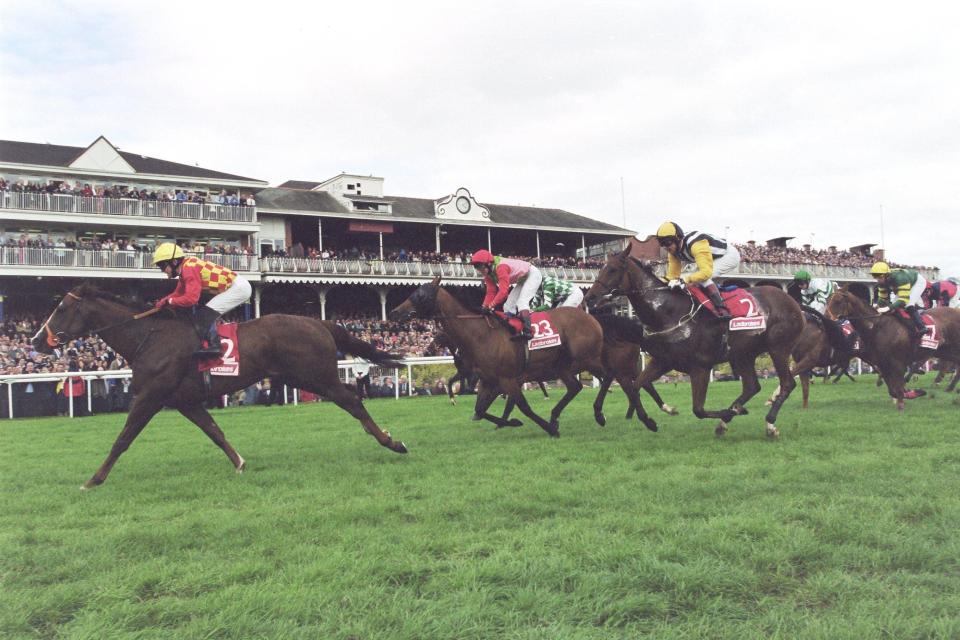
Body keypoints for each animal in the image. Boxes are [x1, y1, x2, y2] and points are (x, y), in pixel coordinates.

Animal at [32, 282, 408, 488]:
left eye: (61, 308)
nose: (36, 341)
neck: (149, 337)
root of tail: (321, 323)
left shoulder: (151, 395)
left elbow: (123, 439)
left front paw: (94, 479)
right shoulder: (184, 400)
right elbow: (214, 431)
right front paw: (239, 462)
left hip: (318, 377)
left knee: (354, 401)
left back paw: (392, 442)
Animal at [584, 248, 804, 438]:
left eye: (612, 269)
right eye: (601, 267)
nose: (589, 296)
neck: (669, 313)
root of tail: (791, 301)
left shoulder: (701, 366)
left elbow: (698, 409)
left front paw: (732, 412)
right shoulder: (663, 361)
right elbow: (636, 387)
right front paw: (647, 420)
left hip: (778, 348)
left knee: (787, 383)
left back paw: (769, 423)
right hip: (744, 354)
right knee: (751, 386)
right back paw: (728, 419)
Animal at [824, 286, 960, 408]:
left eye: (838, 301)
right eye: (827, 300)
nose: (826, 319)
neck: (875, 326)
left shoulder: (897, 361)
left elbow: (898, 384)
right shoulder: (881, 361)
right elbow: (892, 388)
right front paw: (912, 392)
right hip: (943, 351)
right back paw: (949, 387)